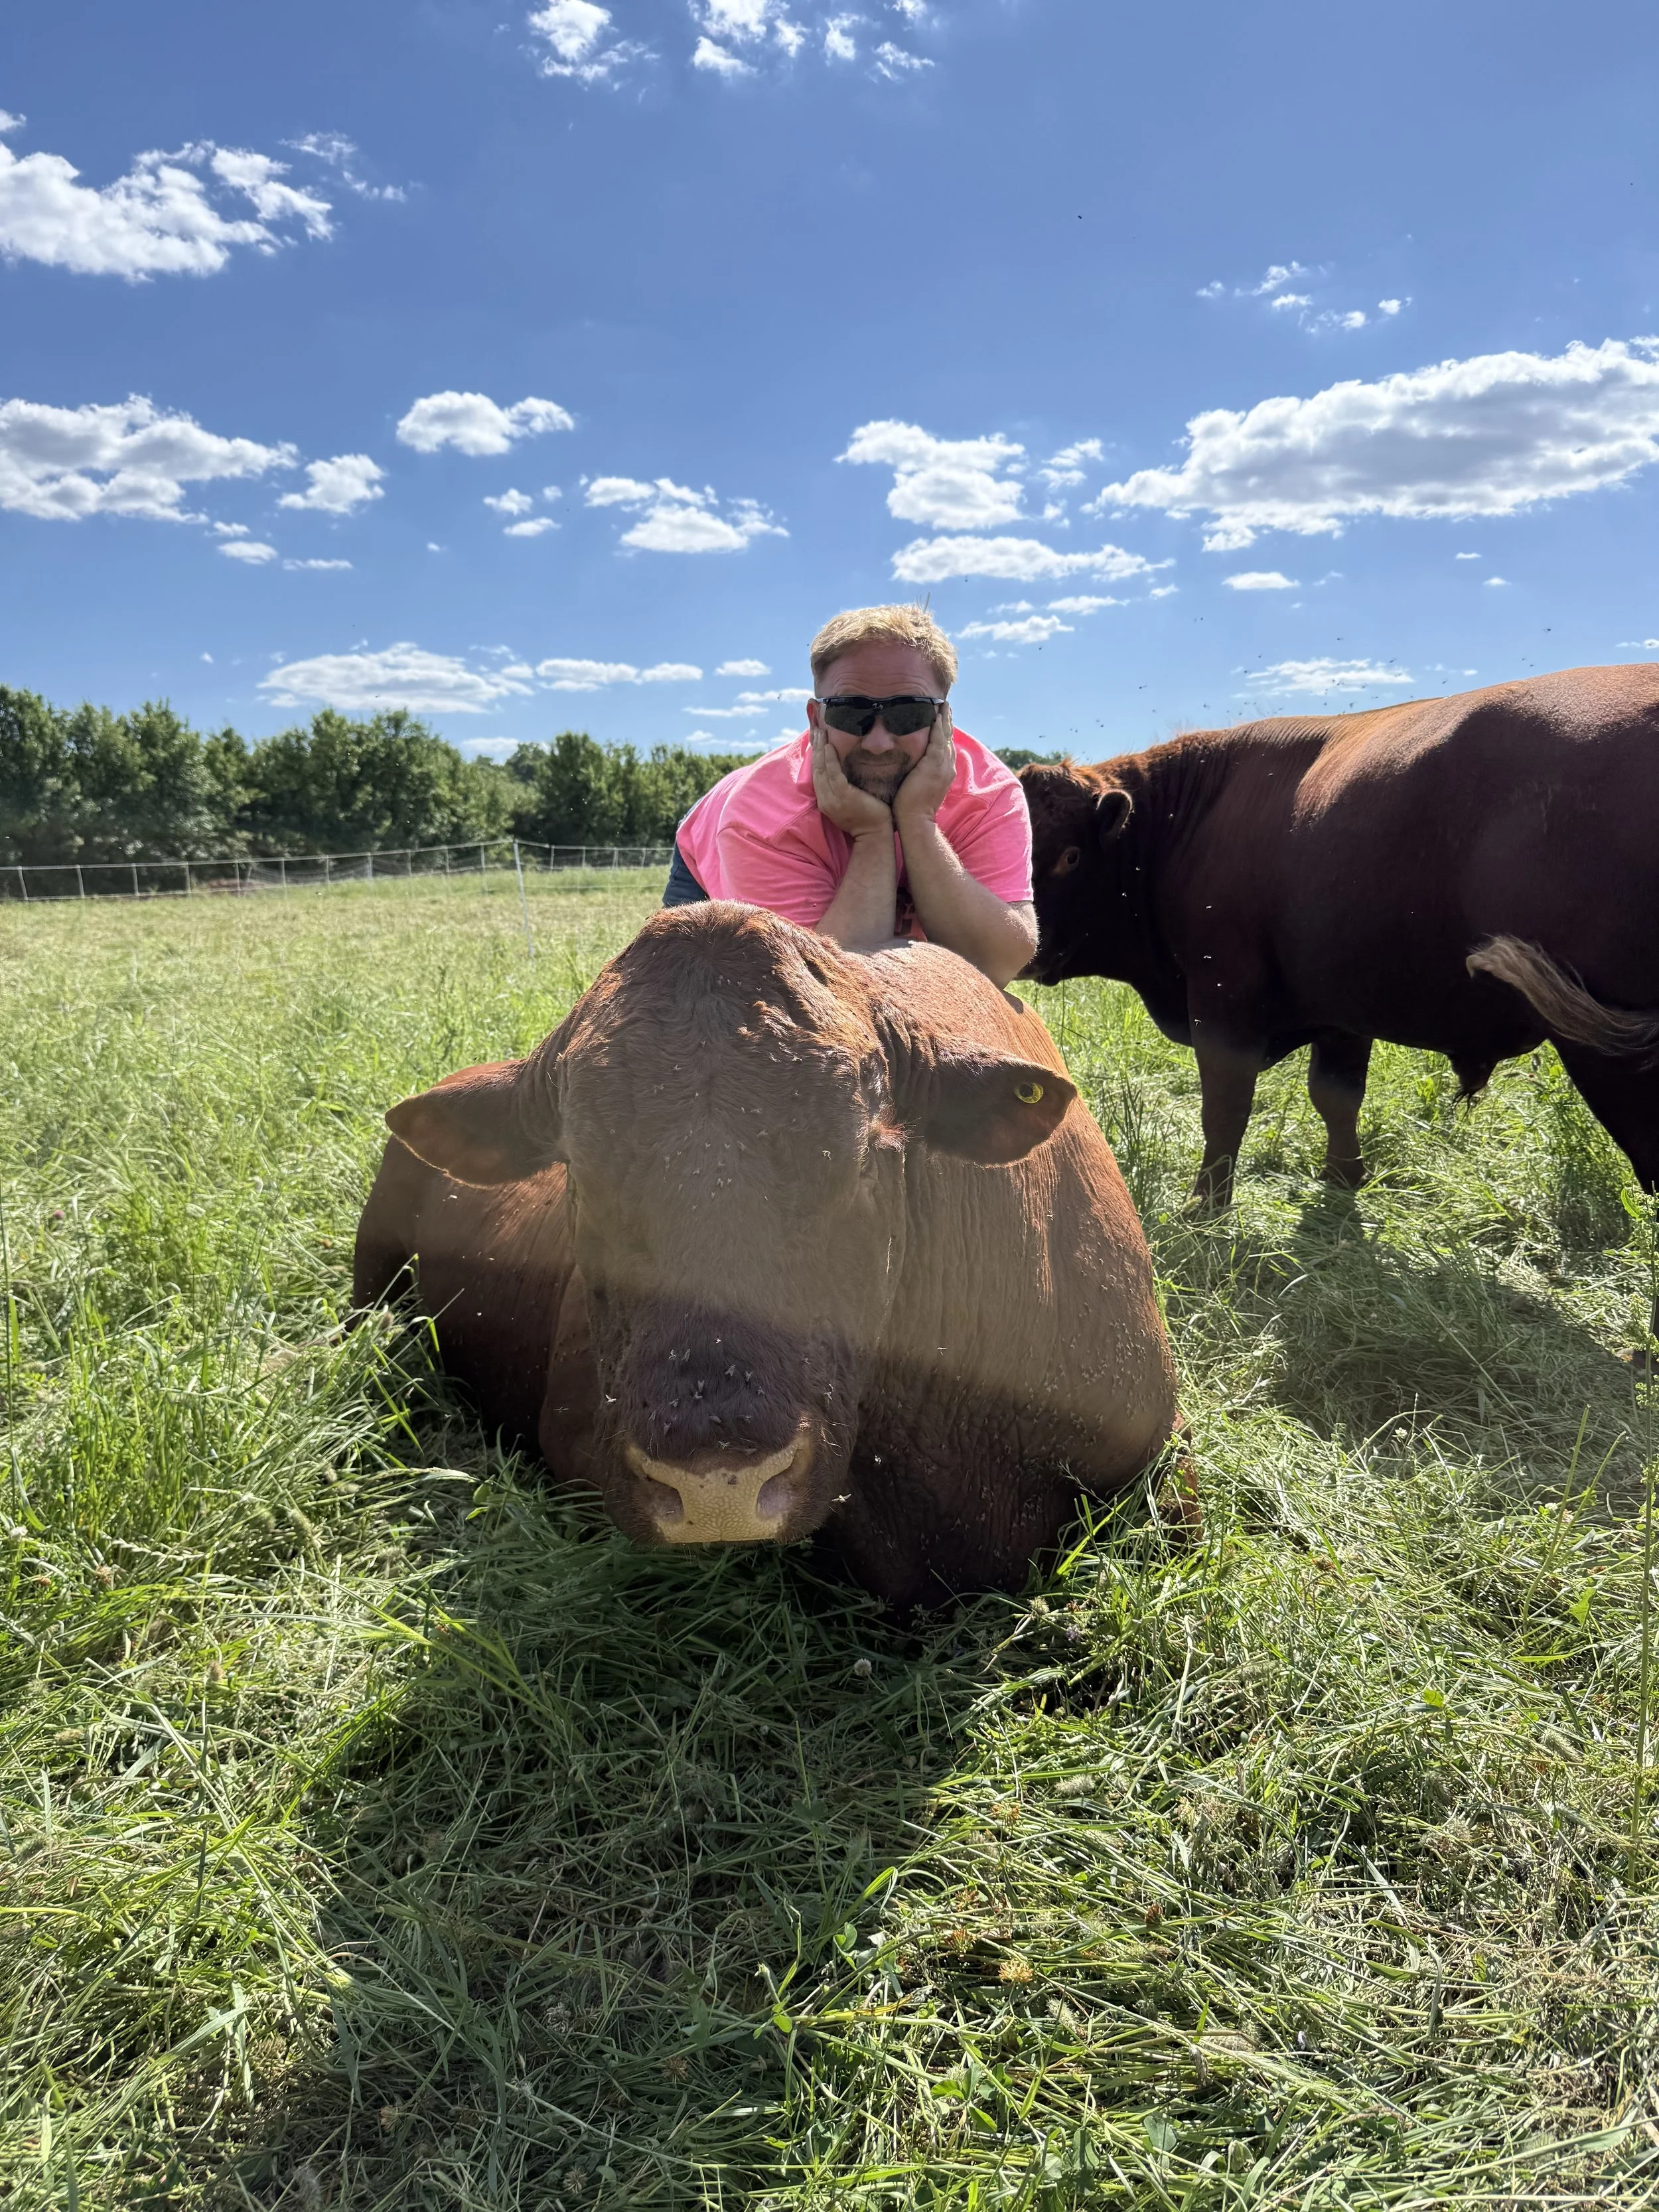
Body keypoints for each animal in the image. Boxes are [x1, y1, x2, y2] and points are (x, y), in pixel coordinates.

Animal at [1019, 662, 1659, 1349]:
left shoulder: (1223, 1000)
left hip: (1613, 1057)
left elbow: (1225, 1112)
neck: (1182, 820)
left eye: (1069, 855)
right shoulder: (1340, 1010)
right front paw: (1342, 1179)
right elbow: (1336, 1096)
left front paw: (1205, 1208)